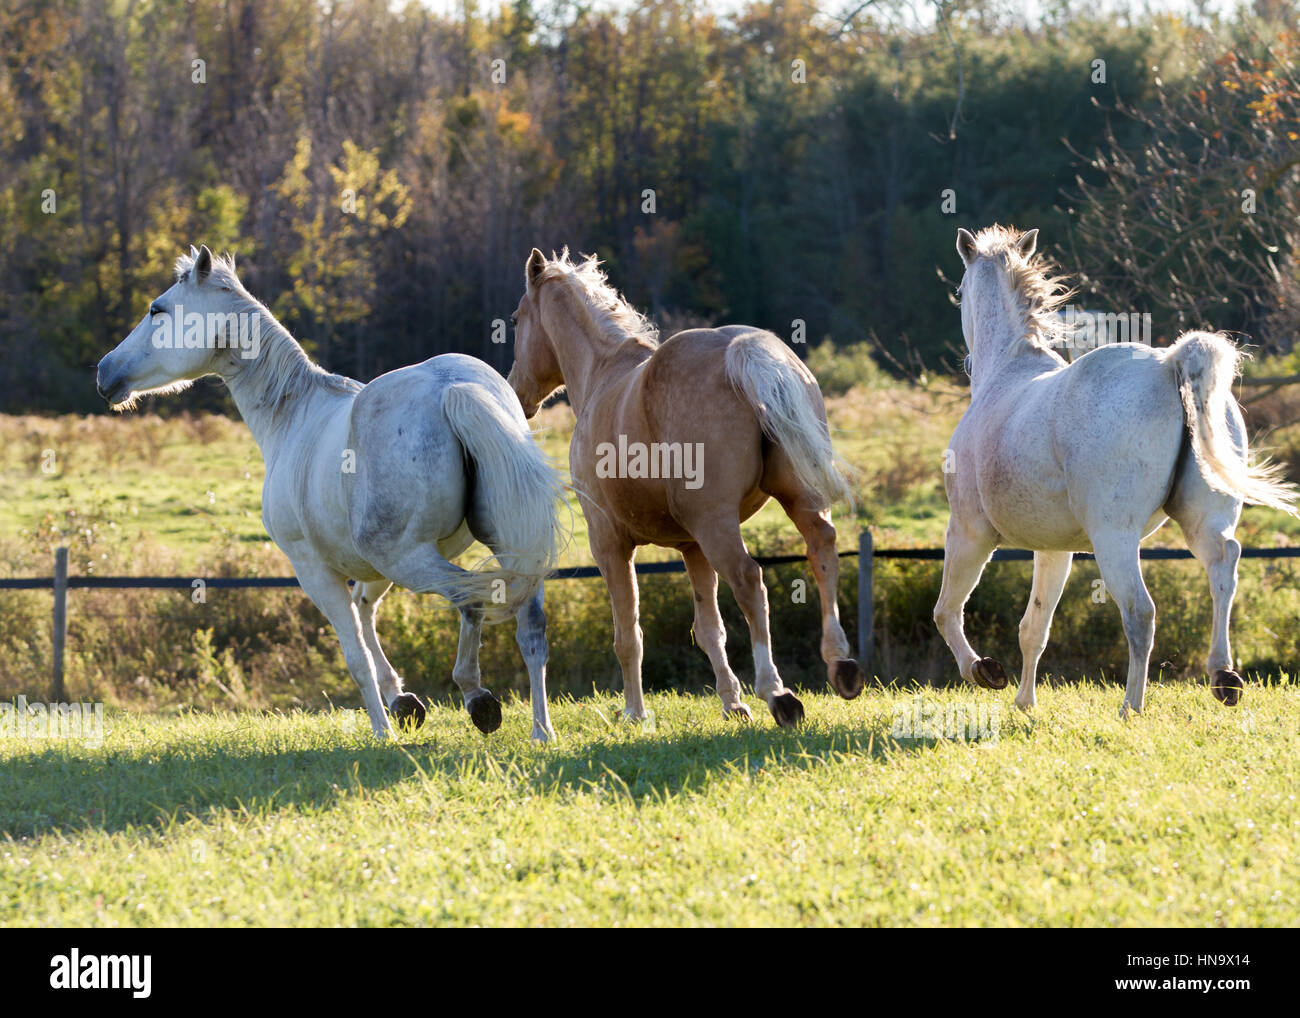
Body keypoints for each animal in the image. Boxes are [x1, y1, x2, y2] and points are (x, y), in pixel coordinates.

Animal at [96, 247, 564, 738]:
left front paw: (384, 730)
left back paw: (478, 698)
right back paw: (540, 730)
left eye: (157, 309)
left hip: (411, 559)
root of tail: (453, 388)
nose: (104, 372)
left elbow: (355, 655)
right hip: (501, 544)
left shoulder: (315, 569)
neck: (292, 416)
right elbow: (365, 609)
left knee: (472, 599)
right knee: (529, 628)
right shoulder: (369, 566)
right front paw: (402, 700)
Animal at [506, 250, 863, 728]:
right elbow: (710, 628)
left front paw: (634, 712)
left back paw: (777, 692)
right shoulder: (692, 548)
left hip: (717, 525)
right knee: (822, 551)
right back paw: (840, 664)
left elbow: (628, 633)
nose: (515, 391)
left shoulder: (609, 544)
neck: (603, 373)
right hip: (797, 501)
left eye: (516, 318)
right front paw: (732, 702)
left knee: (750, 580)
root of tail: (743, 350)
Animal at [941, 224, 1294, 717]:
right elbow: (1034, 628)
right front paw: (1025, 704)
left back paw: (1132, 705)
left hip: (1114, 540)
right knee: (1224, 565)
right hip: (1202, 523)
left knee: (1140, 612)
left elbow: (947, 612)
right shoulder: (1053, 551)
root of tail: (1170, 364)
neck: (1007, 371)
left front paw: (983, 671)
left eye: (958, 291)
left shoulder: (969, 533)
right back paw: (1223, 677)